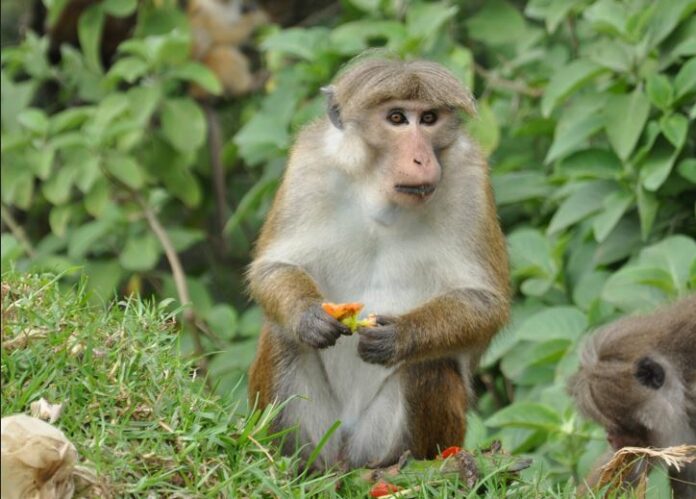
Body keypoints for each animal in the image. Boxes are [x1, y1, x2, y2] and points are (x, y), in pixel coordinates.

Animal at [246, 56, 510, 470]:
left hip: (378, 441)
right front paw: (308, 316)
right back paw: (286, 462)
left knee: (431, 364)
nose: (422, 157)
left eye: (429, 118)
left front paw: (400, 336)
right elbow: (273, 266)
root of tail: (345, 454)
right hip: (322, 434)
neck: (380, 196)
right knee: (282, 337)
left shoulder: (470, 177)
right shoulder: (311, 163)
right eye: (397, 118)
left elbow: (485, 301)